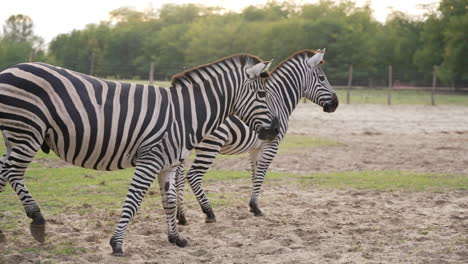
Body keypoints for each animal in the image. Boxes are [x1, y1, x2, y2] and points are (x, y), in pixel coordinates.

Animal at [0, 54, 280, 256]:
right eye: (262, 94)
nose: (277, 130)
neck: (184, 116)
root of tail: (9, 70)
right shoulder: (150, 159)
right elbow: (133, 201)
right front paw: (117, 244)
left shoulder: (168, 165)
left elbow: (169, 202)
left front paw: (175, 238)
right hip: (26, 132)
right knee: (10, 172)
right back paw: (37, 219)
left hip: (16, 136)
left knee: (4, 171)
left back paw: (10, 230)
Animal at [174, 48, 338, 224]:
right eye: (322, 78)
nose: (336, 104)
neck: (279, 99)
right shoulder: (272, 144)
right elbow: (261, 174)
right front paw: (255, 207)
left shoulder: (255, 148)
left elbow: (254, 174)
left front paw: (253, 205)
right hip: (211, 145)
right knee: (193, 176)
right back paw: (209, 212)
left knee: (178, 177)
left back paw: (182, 217)